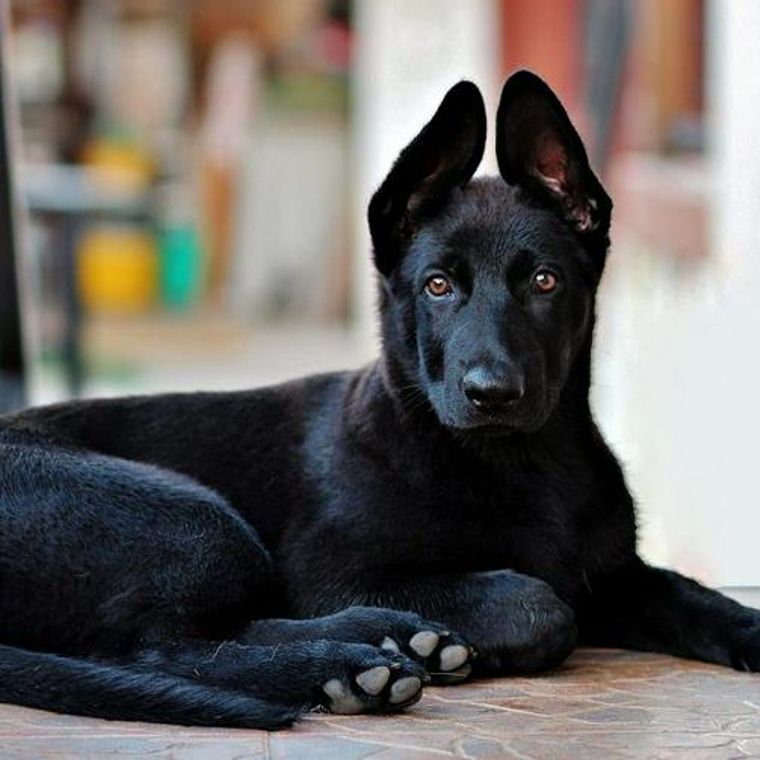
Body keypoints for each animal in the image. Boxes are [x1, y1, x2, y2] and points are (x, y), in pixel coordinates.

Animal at [1, 72, 760, 732]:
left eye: (545, 281)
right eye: (437, 286)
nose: (491, 393)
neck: (520, 461)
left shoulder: (618, 574)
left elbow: (694, 594)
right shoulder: (331, 570)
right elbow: (540, 604)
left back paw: (389, 641)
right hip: (194, 518)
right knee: (160, 647)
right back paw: (348, 667)